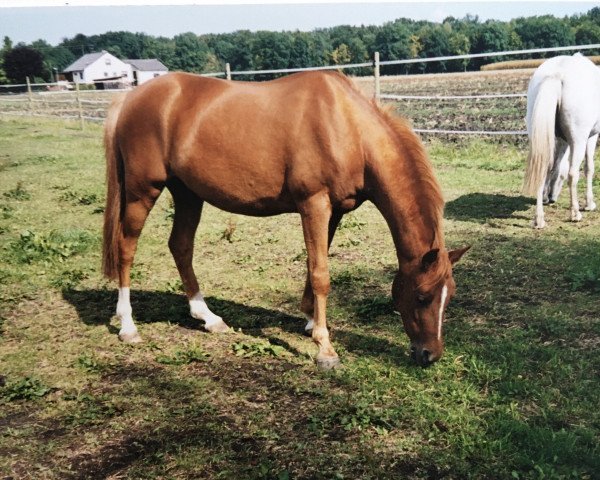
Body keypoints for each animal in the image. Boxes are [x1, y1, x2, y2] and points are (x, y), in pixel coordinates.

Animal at [102, 71, 468, 368]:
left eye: (449, 294)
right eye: (422, 296)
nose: (430, 355)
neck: (346, 126)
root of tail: (131, 97)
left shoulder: (334, 211)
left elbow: (314, 266)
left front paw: (309, 321)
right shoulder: (314, 204)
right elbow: (321, 274)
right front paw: (325, 348)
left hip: (188, 193)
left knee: (180, 246)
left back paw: (208, 317)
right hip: (143, 191)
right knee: (126, 248)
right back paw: (128, 326)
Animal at [524, 54, 596, 229]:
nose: (552, 198)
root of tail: (558, 73)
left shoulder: (561, 140)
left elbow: (554, 167)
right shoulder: (591, 137)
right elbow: (589, 168)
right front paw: (589, 204)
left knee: (542, 168)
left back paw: (539, 219)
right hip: (578, 139)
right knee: (573, 173)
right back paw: (575, 214)